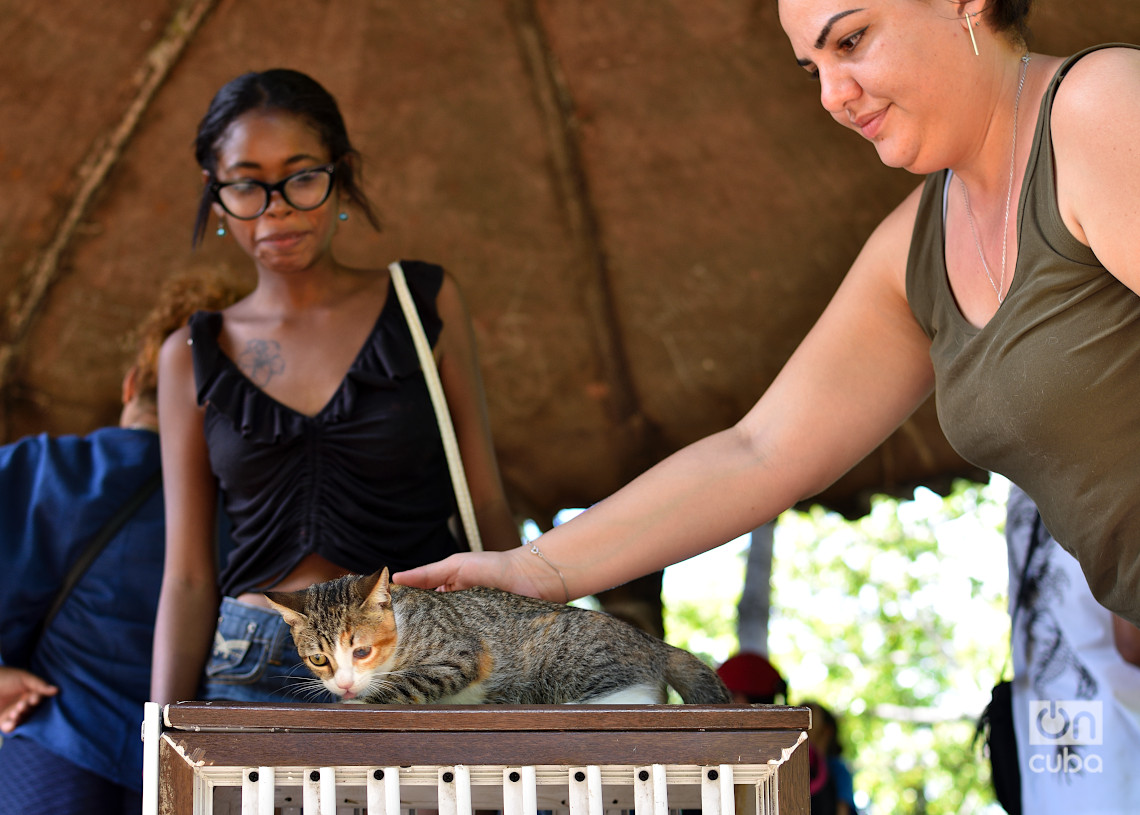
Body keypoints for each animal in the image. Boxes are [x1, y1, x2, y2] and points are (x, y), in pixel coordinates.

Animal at [264, 567, 729, 706]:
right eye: (319, 659)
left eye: (361, 651)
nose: (343, 684)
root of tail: (651, 641)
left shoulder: (462, 653)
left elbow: (408, 683)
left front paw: (361, 699)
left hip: (570, 660)